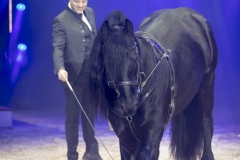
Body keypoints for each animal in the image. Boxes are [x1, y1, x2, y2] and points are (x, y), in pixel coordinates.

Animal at [89, 7, 218, 160]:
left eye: (134, 57)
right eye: (107, 62)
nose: (128, 104)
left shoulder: (152, 132)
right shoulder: (126, 138)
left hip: (207, 86)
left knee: (206, 124)